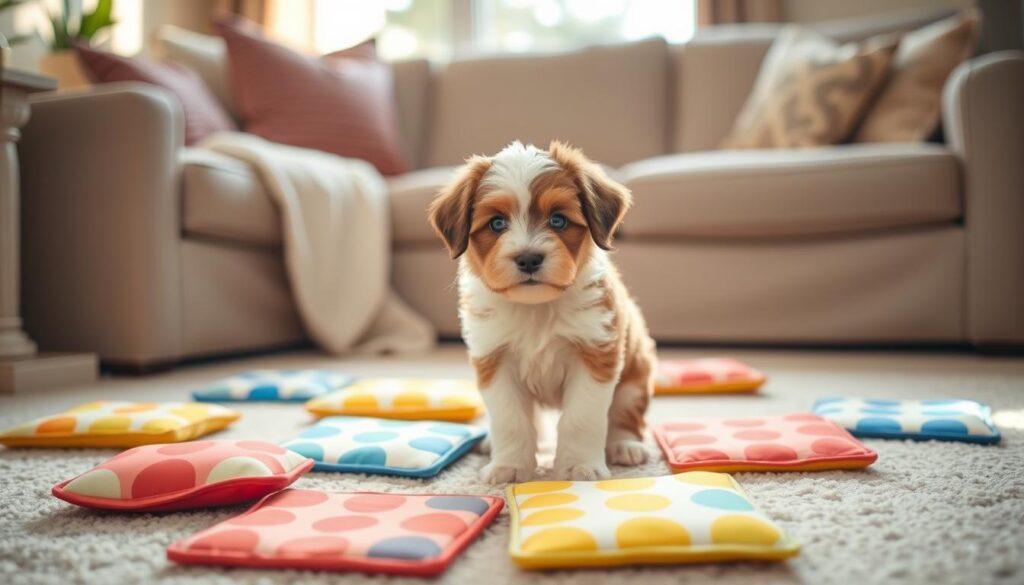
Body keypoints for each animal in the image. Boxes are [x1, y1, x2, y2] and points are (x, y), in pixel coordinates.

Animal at [425, 139, 655, 483]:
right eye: (497, 224)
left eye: (558, 220)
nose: (529, 258)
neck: (536, 310)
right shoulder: (495, 358)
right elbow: (511, 419)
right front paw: (509, 466)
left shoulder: (596, 353)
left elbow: (581, 418)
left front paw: (578, 466)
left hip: (634, 377)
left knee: (625, 415)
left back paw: (625, 445)